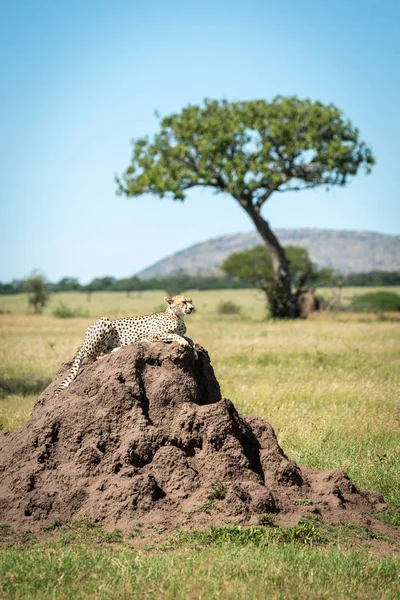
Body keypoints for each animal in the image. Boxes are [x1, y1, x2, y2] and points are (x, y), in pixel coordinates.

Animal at [53, 294, 197, 394]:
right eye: (184, 302)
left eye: (191, 301)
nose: (192, 308)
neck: (177, 316)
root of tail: (84, 341)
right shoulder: (154, 335)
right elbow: (176, 335)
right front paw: (183, 342)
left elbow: (191, 339)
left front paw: (194, 352)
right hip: (104, 321)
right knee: (96, 356)